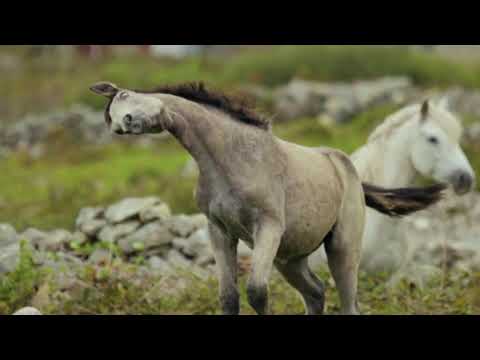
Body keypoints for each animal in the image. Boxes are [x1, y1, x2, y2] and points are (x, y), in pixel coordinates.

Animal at [91, 82, 446, 316]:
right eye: (112, 123)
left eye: (124, 96)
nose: (126, 123)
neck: (229, 158)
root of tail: (350, 170)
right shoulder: (220, 231)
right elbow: (229, 297)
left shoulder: (268, 227)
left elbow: (257, 293)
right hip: (289, 259)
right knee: (316, 292)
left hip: (341, 248)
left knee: (347, 301)